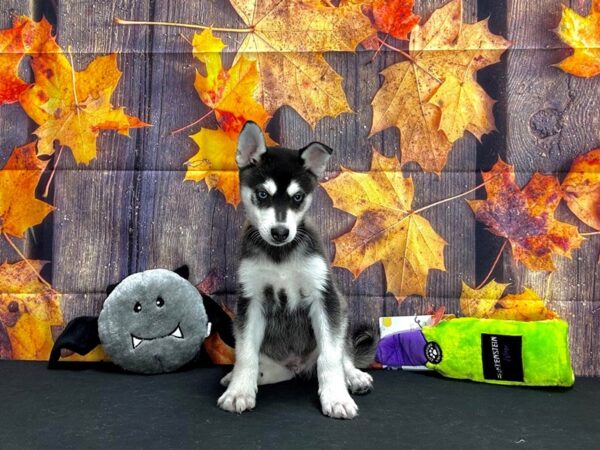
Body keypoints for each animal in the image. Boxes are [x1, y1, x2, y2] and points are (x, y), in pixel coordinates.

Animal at [216, 122, 376, 418]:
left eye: (298, 197)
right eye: (262, 194)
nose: (280, 232)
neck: (281, 256)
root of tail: (296, 367)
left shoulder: (324, 297)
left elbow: (330, 357)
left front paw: (337, 397)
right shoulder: (250, 300)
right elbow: (245, 354)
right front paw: (238, 391)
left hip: (342, 308)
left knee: (343, 353)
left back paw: (354, 377)